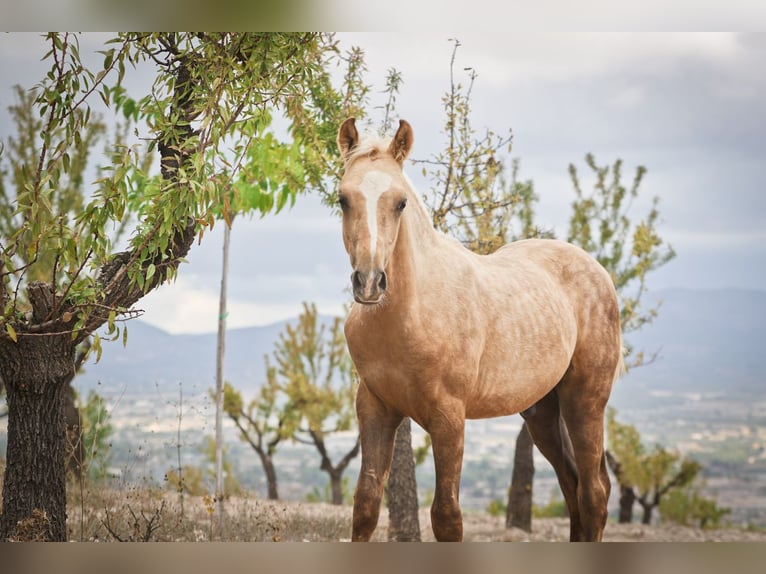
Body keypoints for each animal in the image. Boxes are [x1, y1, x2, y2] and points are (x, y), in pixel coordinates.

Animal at [338, 118, 624, 544]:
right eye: (343, 199)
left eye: (400, 202)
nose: (370, 282)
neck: (412, 313)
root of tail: (598, 271)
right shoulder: (374, 409)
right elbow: (366, 507)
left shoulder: (449, 418)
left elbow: (447, 516)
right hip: (542, 412)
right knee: (573, 487)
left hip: (585, 400)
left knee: (593, 494)